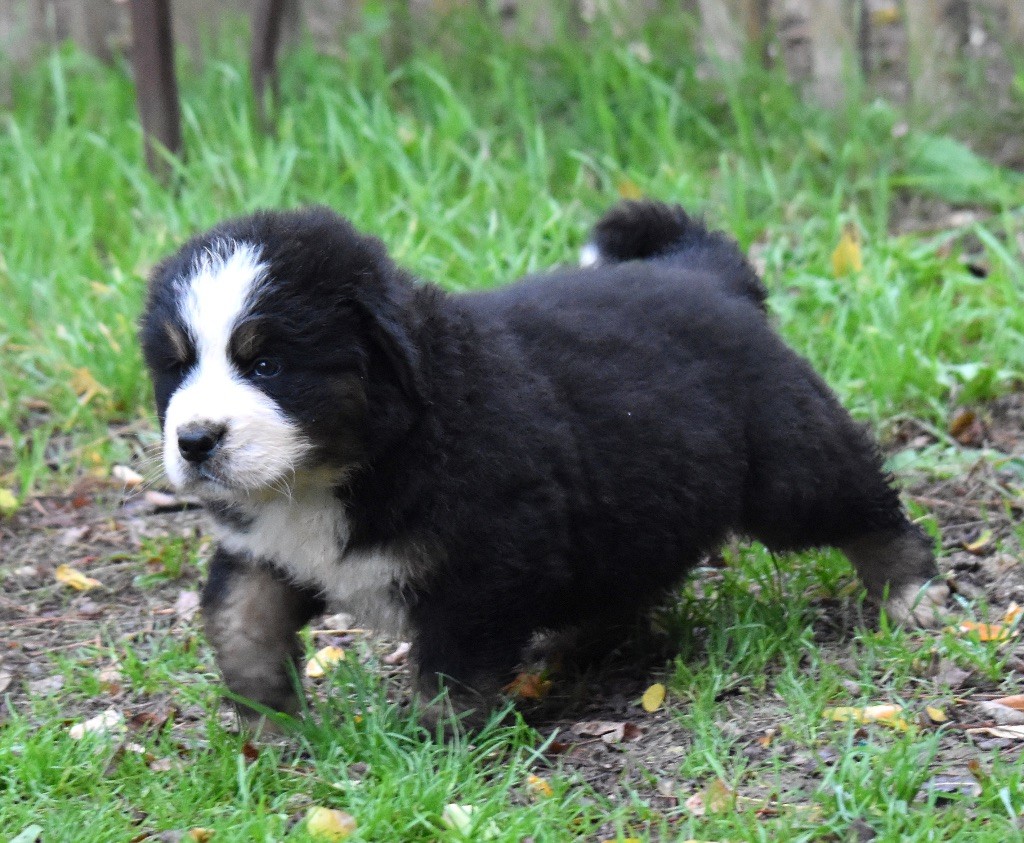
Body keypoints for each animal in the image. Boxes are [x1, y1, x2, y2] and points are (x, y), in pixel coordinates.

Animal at [140, 200, 946, 729]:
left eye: (266, 362)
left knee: (865, 507)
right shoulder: (268, 550)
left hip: (787, 461)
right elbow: (241, 621)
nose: (196, 440)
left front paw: (434, 745)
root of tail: (702, 275)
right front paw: (270, 718)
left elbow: (453, 670)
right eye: (177, 367)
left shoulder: (485, 558)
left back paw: (911, 592)